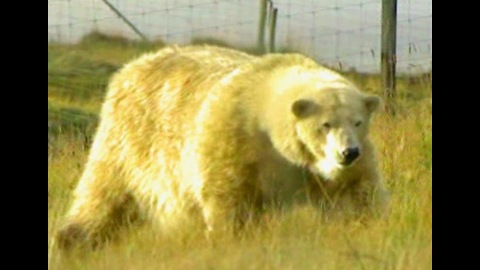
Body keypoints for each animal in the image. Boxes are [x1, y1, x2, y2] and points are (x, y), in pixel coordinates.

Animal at [56, 44, 388, 249]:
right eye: (326, 124)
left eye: (358, 122)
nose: (348, 153)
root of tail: (131, 67)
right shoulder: (236, 139)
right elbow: (229, 199)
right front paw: (232, 242)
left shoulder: (326, 170)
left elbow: (358, 195)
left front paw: (366, 231)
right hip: (132, 141)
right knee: (103, 195)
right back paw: (71, 241)